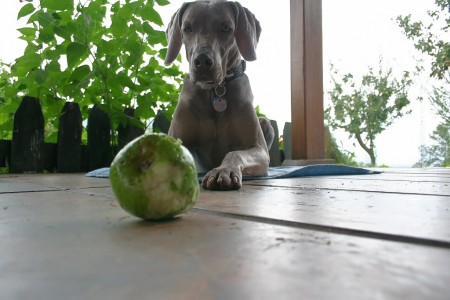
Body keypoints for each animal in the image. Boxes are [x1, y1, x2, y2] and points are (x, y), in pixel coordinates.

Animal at [163, 1, 272, 191]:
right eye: (187, 28)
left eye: (226, 28)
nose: (202, 61)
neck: (215, 91)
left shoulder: (259, 149)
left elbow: (235, 153)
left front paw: (223, 171)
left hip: (266, 123)